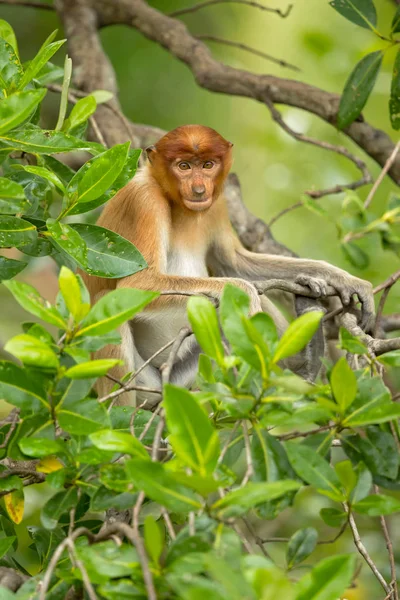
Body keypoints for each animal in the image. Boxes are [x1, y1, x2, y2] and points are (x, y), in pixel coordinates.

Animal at [82, 124, 376, 406]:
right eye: (183, 166)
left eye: (208, 165)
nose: (199, 190)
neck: (176, 202)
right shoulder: (143, 200)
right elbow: (138, 283)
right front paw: (249, 298)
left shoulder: (217, 203)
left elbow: (233, 263)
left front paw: (344, 280)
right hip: (147, 382)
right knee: (105, 299)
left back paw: (305, 362)